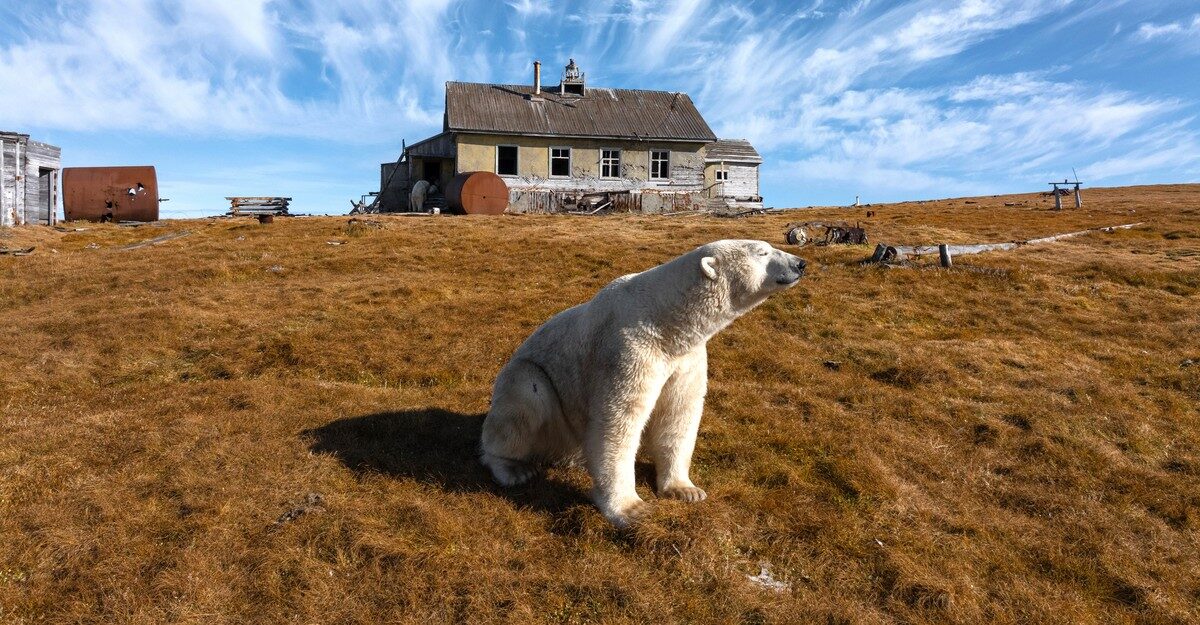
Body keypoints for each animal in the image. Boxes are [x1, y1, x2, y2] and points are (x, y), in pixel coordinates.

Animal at [480, 239, 807, 527]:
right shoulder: (629, 349)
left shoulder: (685, 358)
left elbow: (678, 413)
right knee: (523, 403)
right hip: (530, 387)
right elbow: (619, 420)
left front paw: (686, 490)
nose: (800, 263)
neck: (667, 320)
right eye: (762, 252)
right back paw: (514, 469)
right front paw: (631, 508)